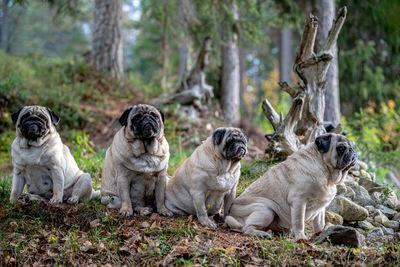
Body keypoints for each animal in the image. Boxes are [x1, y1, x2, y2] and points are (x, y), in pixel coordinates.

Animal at [225, 134, 356, 241]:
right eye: (341, 148)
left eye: (352, 147)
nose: (353, 151)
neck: (327, 174)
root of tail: (232, 214)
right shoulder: (299, 201)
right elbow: (299, 222)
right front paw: (301, 238)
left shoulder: (320, 208)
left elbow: (319, 223)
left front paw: (320, 234)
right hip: (265, 210)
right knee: (246, 228)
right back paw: (261, 234)